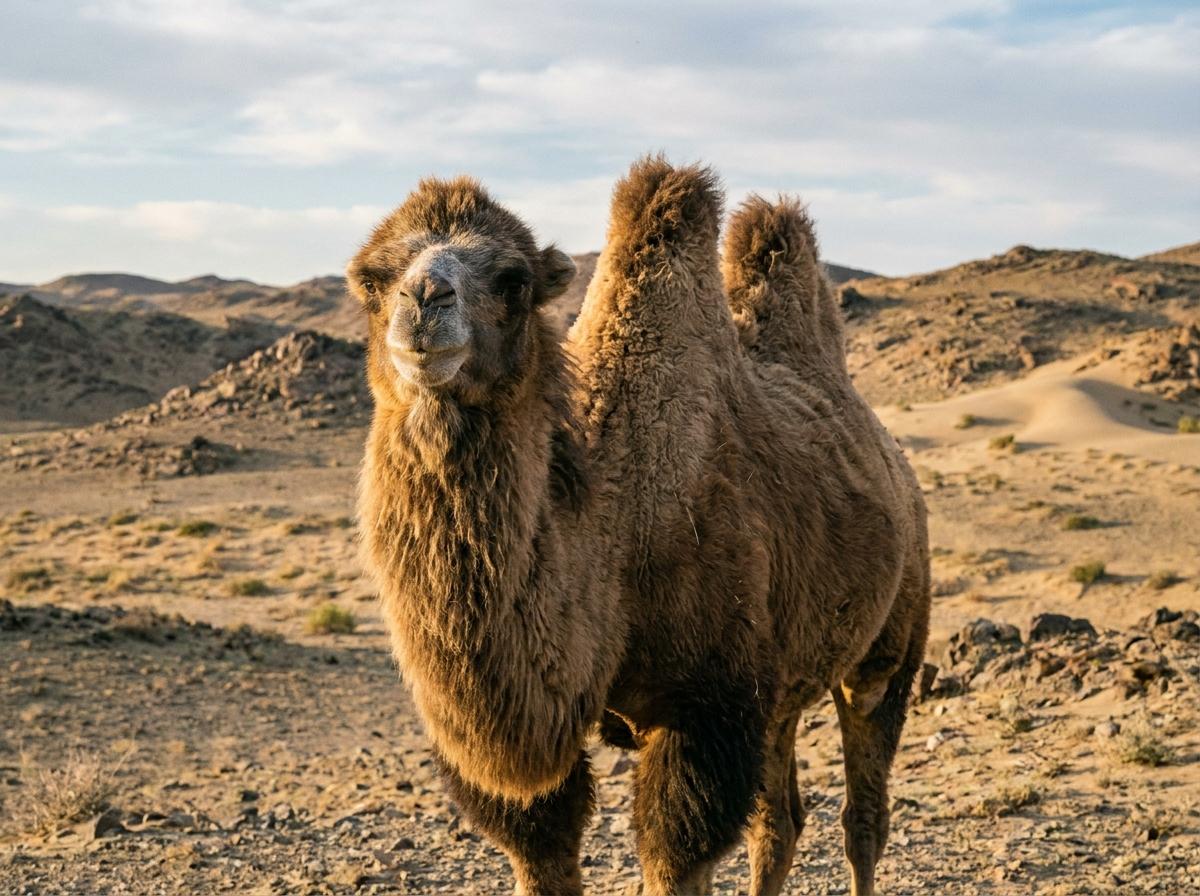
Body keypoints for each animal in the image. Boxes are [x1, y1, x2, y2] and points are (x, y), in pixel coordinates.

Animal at [351, 157, 930, 896]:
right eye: (371, 279)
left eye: (513, 281)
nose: (424, 298)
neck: (610, 537)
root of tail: (899, 470)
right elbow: (542, 845)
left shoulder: (706, 709)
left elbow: (676, 855)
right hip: (783, 686)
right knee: (781, 822)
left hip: (891, 639)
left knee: (863, 814)